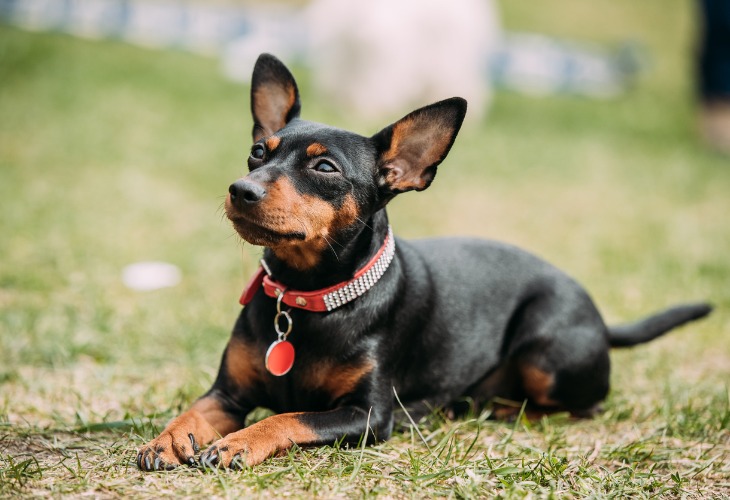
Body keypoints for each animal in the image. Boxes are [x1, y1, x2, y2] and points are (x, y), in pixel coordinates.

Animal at [136, 52, 712, 470]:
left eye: (324, 168)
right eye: (259, 152)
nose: (241, 189)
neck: (309, 296)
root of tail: (601, 319)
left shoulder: (369, 416)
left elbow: (292, 417)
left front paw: (239, 442)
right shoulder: (227, 393)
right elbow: (195, 409)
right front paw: (168, 438)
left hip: (547, 353)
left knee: (578, 406)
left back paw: (497, 407)